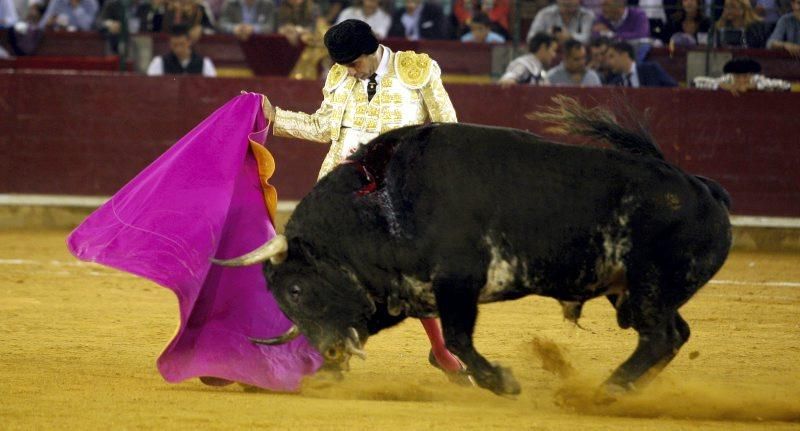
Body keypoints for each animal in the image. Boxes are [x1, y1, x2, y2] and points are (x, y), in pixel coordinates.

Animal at [212, 99, 732, 396]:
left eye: (296, 291)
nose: (332, 353)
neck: (385, 202)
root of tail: (703, 188)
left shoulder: (458, 281)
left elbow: (460, 335)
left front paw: (500, 381)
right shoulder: (407, 290)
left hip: (649, 287)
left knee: (660, 337)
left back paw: (605, 392)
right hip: (636, 291)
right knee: (672, 335)